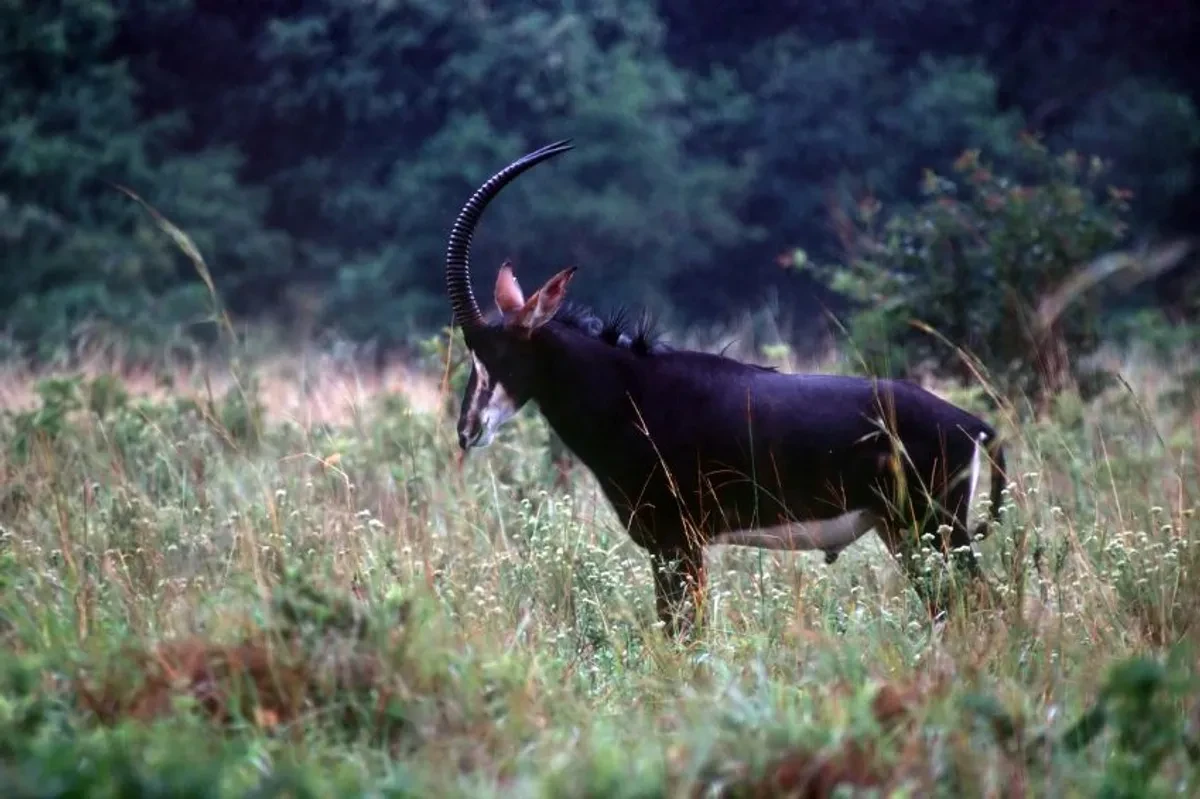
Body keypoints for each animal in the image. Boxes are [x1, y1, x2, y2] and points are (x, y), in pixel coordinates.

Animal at [446, 138, 1008, 633]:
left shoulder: (677, 542)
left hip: (932, 527)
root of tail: (972, 425)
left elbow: (683, 633)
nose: (467, 430)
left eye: (499, 352)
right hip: (905, 532)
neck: (630, 392)